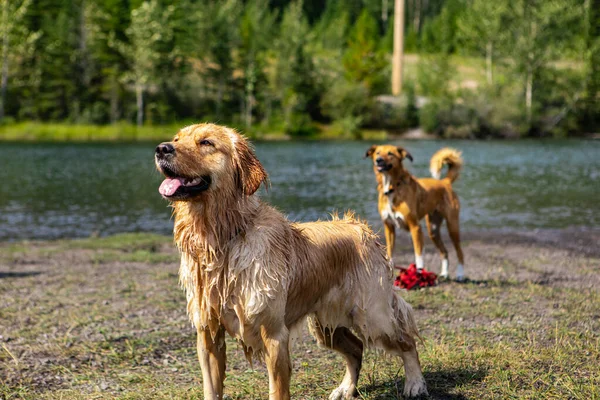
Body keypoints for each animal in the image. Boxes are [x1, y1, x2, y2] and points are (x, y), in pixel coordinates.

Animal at [155, 124, 426, 400]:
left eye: (206, 143)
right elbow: (212, 389)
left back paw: (415, 383)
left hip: (372, 316)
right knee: (357, 348)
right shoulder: (208, 335)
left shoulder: (274, 334)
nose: (162, 148)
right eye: (177, 138)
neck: (221, 239)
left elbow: (278, 390)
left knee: (407, 340)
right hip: (324, 324)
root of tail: (361, 228)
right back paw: (346, 388)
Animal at [364, 145, 466, 280]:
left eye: (390, 153)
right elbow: (389, 253)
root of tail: (445, 182)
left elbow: (418, 256)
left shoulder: (415, 227)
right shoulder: (389, 228)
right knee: (444, 252)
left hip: (452, 227)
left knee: (460, 252)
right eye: (377, 153)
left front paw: (418, 276)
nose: (378, 160)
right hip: (433, 230)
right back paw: (444, 273)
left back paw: (460, 274)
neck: (392, 188)